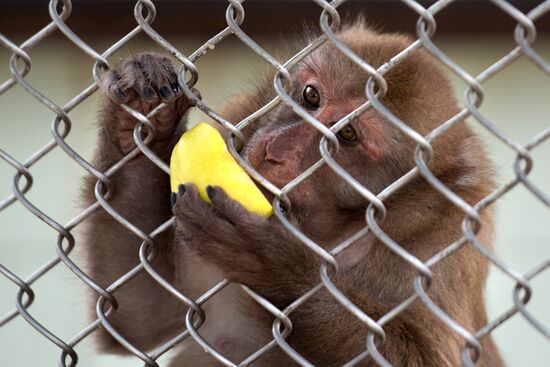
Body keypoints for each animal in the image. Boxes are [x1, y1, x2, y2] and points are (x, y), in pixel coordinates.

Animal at [80, 20, 506, 367]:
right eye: (311, 96)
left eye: (346, 135)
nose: (275, 150)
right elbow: (138, 317)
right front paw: (142, 116)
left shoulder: (447, 240)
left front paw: (275, 261)